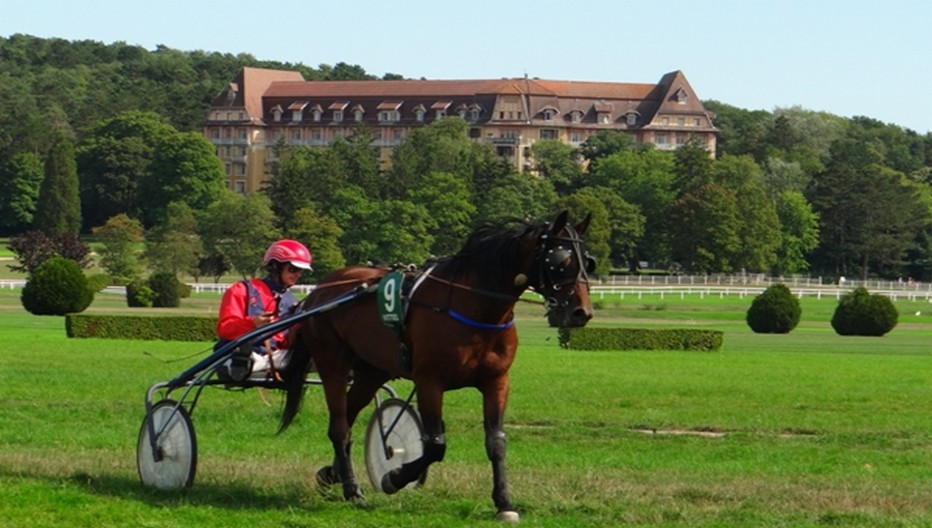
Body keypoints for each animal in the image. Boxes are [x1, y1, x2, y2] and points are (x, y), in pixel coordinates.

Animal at [280, 209, 592, 520]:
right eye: (561, 261)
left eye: (588, 261)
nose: (582, 312)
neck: (474, 307)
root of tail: (318, 292)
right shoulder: (429, 381)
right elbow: (434, 445)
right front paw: (393, 477)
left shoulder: (497, 380)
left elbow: (496, 441)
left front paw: (504, 502)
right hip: (332, 362)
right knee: (339, 426)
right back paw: (352, 489)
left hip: (371, 371)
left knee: (348, 414)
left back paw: (331, 474)